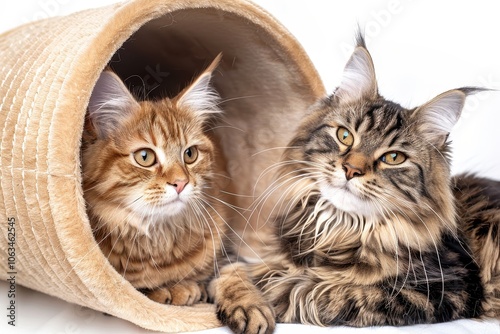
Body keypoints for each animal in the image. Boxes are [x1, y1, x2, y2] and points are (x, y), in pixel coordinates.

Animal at [83, 55, 274, 334]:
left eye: (190, 154)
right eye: (145, 157)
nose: (181, 183)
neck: (159, 236)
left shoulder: (224, 252)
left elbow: (235, 275)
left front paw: (250, 306)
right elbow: (139, 288)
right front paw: (177, 290)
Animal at [254, 36, 500, 326]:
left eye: (393, 157)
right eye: (345, 135)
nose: (351, 169)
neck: (341, 228)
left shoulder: (448, 288)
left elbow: (327, 292)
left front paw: (279, 291)